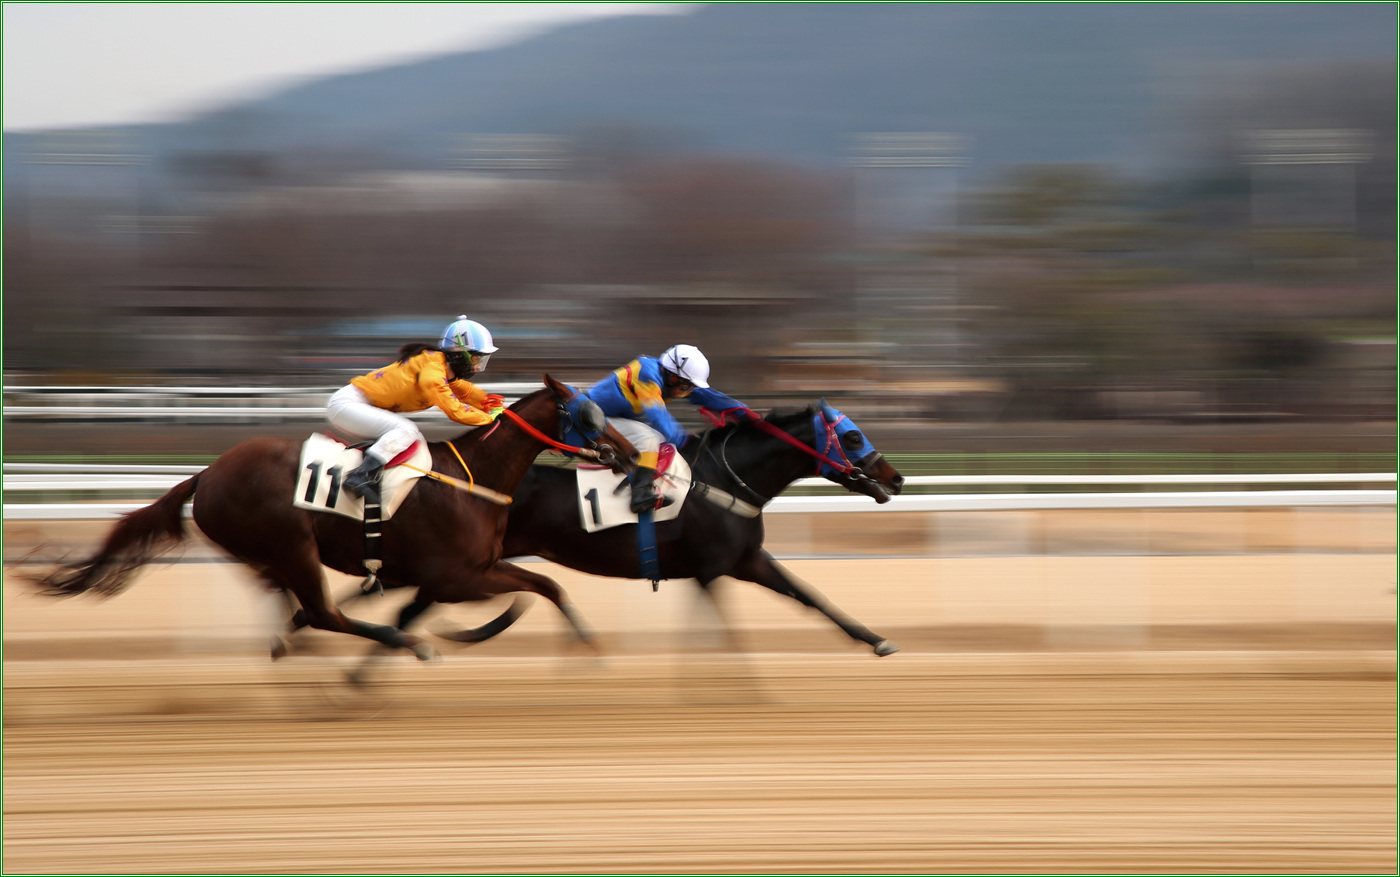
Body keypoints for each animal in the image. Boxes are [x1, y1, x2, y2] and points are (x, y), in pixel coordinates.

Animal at [28, 375, 636, 662]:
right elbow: (539, 586)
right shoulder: (457, 576)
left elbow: (543, 587)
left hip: (263, 558)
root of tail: (206, 475)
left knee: (299, 611)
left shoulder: (464, 572)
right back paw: (405, 644)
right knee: (322, 613)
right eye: (588, 413)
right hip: (291, 543)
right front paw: (585, 649)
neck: (474, 479)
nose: (628, 452)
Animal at [427, 400, 907, 657]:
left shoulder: (746, 561)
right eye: (852, 438)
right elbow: (725, 628)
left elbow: (809, 595)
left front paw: (876, 640)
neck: (723, 479)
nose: (897, 478)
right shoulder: (712, 570)